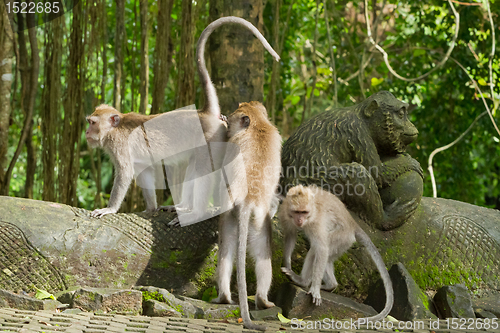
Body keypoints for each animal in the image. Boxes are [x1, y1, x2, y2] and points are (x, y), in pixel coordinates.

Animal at [86, 16, 282, 218]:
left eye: (92, 123)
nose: (86, 132)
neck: (115, 128)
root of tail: (205, 113)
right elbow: (145, 172)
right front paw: (151, 208)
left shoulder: (119, 145)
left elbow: (125, 173)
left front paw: (109, 209)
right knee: (192, 170)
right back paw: (182, 206)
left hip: (211, 142)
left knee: (203, 172)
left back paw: (197, 212)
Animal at [211, 101, 282, 330]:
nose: (227, 120)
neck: (257, 123)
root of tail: (248, 201)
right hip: (259, 221)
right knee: (262, 255)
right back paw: (260, 300)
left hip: (231, 217)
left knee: (226, 250)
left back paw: (224, 297)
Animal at [278, 183, 394, 320]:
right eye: (297, 212)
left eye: (304, 212)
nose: (300, 220)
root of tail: (352, 223)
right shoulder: (285, 213)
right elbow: (290, 235)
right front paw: (287, 263)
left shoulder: (316, 222)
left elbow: (322, 249)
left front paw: (315, 288)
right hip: (344, 242)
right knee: (326, 258)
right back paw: (331, 285)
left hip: (342, 237)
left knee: (317, 250)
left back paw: (303, 281)